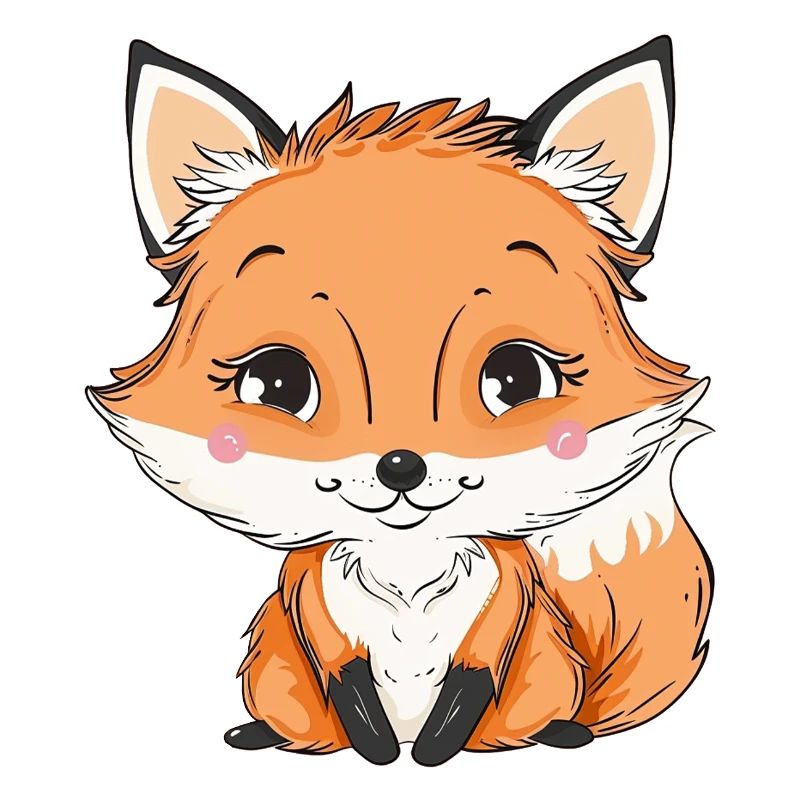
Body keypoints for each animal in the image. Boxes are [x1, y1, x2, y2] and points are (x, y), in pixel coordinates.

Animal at [87, 36, 712, 766]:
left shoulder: (509, 594)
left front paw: (434, 747)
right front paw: (379, 746)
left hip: (548, 669)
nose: (400, 466)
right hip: (274, 667)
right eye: (277, 383)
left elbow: (475, 671)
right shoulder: (305, 594)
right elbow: (344, 673)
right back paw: (264, 734)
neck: (406, 559)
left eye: (517, 379)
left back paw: (555, 732)